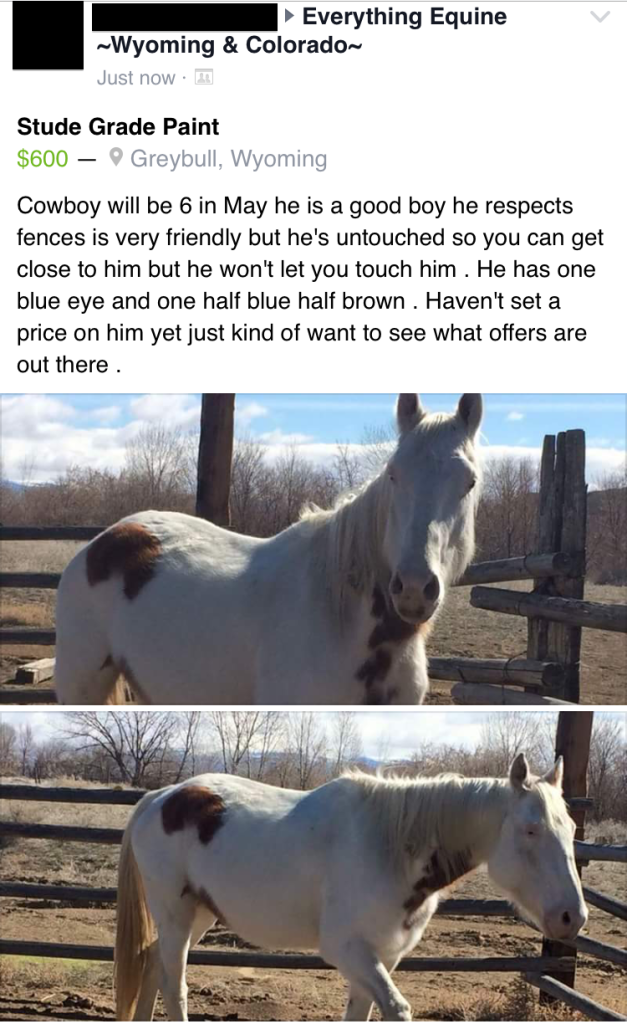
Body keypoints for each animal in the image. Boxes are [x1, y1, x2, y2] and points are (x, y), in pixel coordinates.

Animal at [114, 753, 587, 1022]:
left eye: (570, 827)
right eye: (531, 830)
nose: (572, 917)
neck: (389, 848)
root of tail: (161, 797)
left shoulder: (381, 958)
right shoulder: (349, 950)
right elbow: (397, 1010)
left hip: (199, 915)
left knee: (152, 965)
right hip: (176, 917)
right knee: (174, 987)